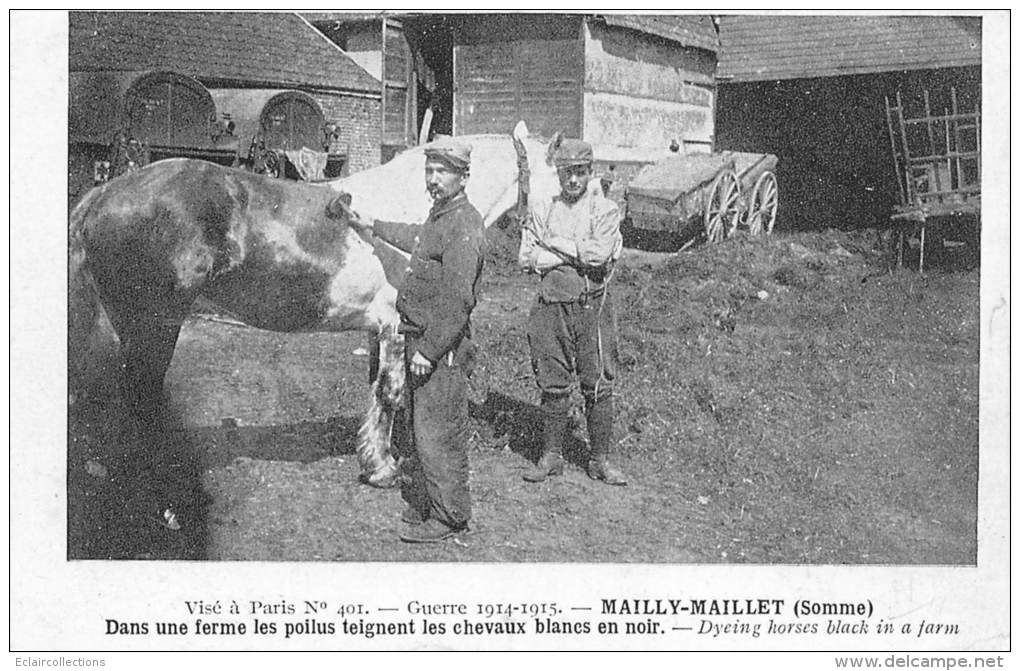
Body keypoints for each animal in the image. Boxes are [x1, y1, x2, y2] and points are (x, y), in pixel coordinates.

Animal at [69, 120, 567, 485]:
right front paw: (383, 469)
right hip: (152, 328)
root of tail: (102, 194)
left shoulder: (381, 331)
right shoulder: (396, 327)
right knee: (138, 398)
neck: (418, 209)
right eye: (562, 184)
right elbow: (391, 392)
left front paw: (379, 456)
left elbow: (382, 393)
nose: (539, 258)